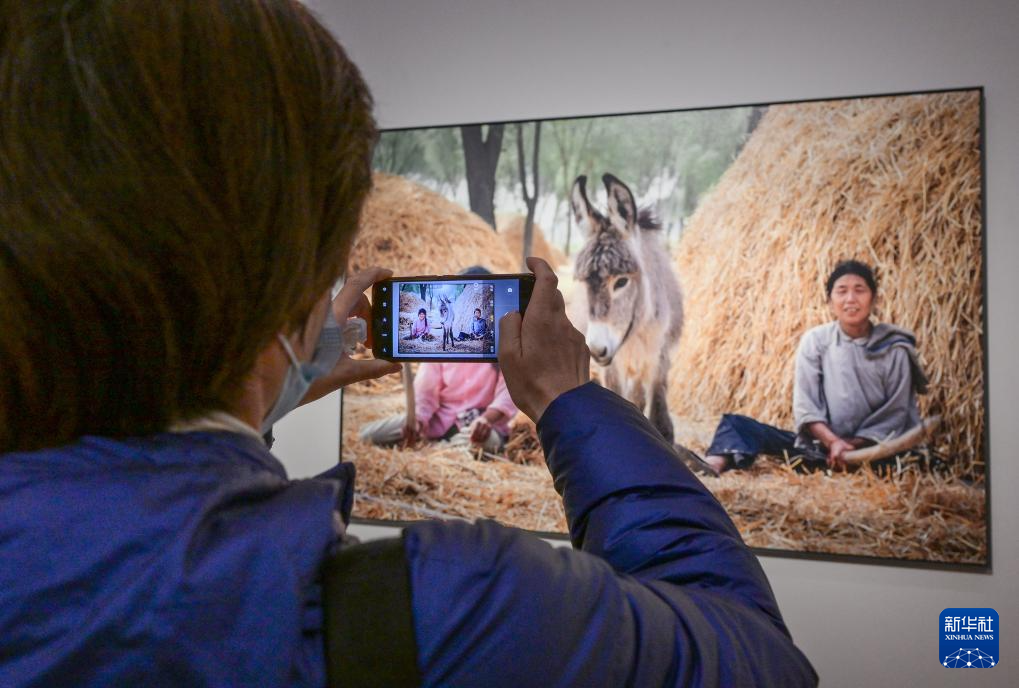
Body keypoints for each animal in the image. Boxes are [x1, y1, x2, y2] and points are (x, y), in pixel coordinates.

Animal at [571, 174, 684, 443]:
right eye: (584, 282)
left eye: (621, 281)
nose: (596, 349)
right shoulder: (613, 365)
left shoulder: (658, 356)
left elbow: (660, 416)